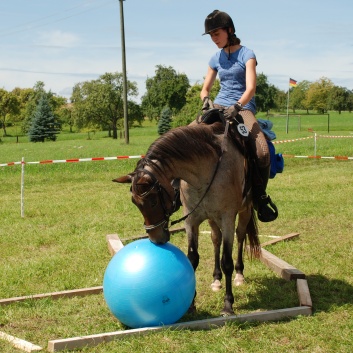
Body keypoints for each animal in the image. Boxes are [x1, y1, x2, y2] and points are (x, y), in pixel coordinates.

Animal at [114, 121, 260, 314]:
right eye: (134, 202)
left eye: (153, 201)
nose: (156, 238)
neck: (205, 173)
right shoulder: (191, 220)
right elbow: (192, 258)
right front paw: (191, 303)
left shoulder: (228, 218)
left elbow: (226, 261)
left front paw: (228, 305)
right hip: (213, 219)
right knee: (216, 239)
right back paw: (216, 279)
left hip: (244, 211)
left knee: (240, 236)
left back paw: (239, 275)